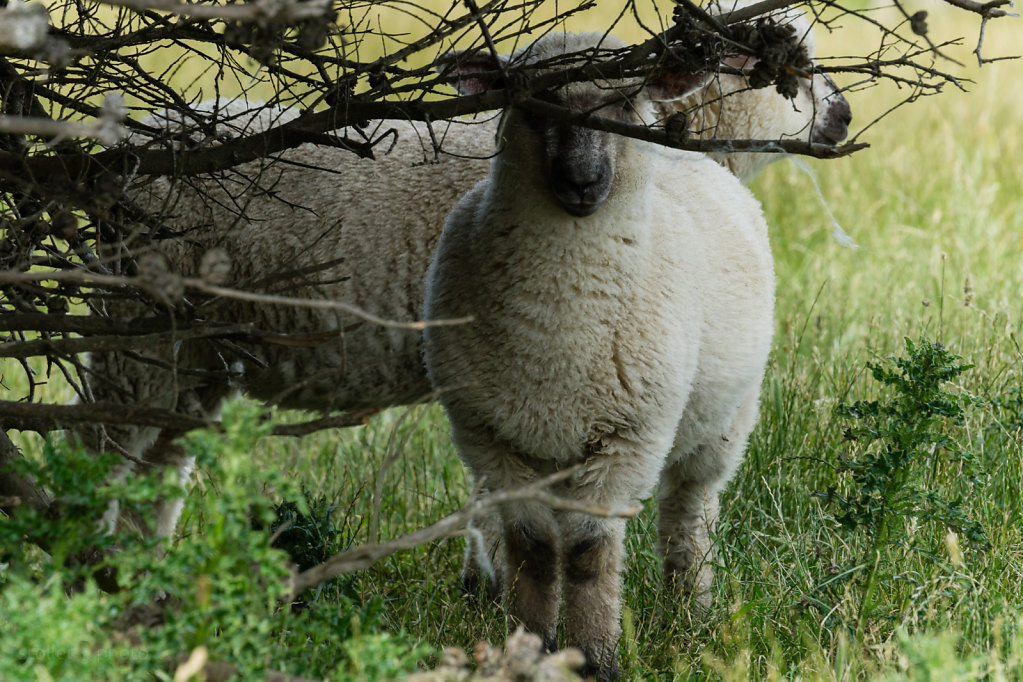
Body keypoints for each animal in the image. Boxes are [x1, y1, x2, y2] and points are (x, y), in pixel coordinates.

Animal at [419, 30, 769, 678]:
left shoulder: (628, 439)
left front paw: (597, 659)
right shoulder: (490, 439)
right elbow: (534, 550)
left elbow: (587, 553)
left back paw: (689, 613)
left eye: (627, 100)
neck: (560, 331)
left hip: (722, 425)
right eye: (533, 103)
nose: (582, 182)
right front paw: (529, 647)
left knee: (688, 512)